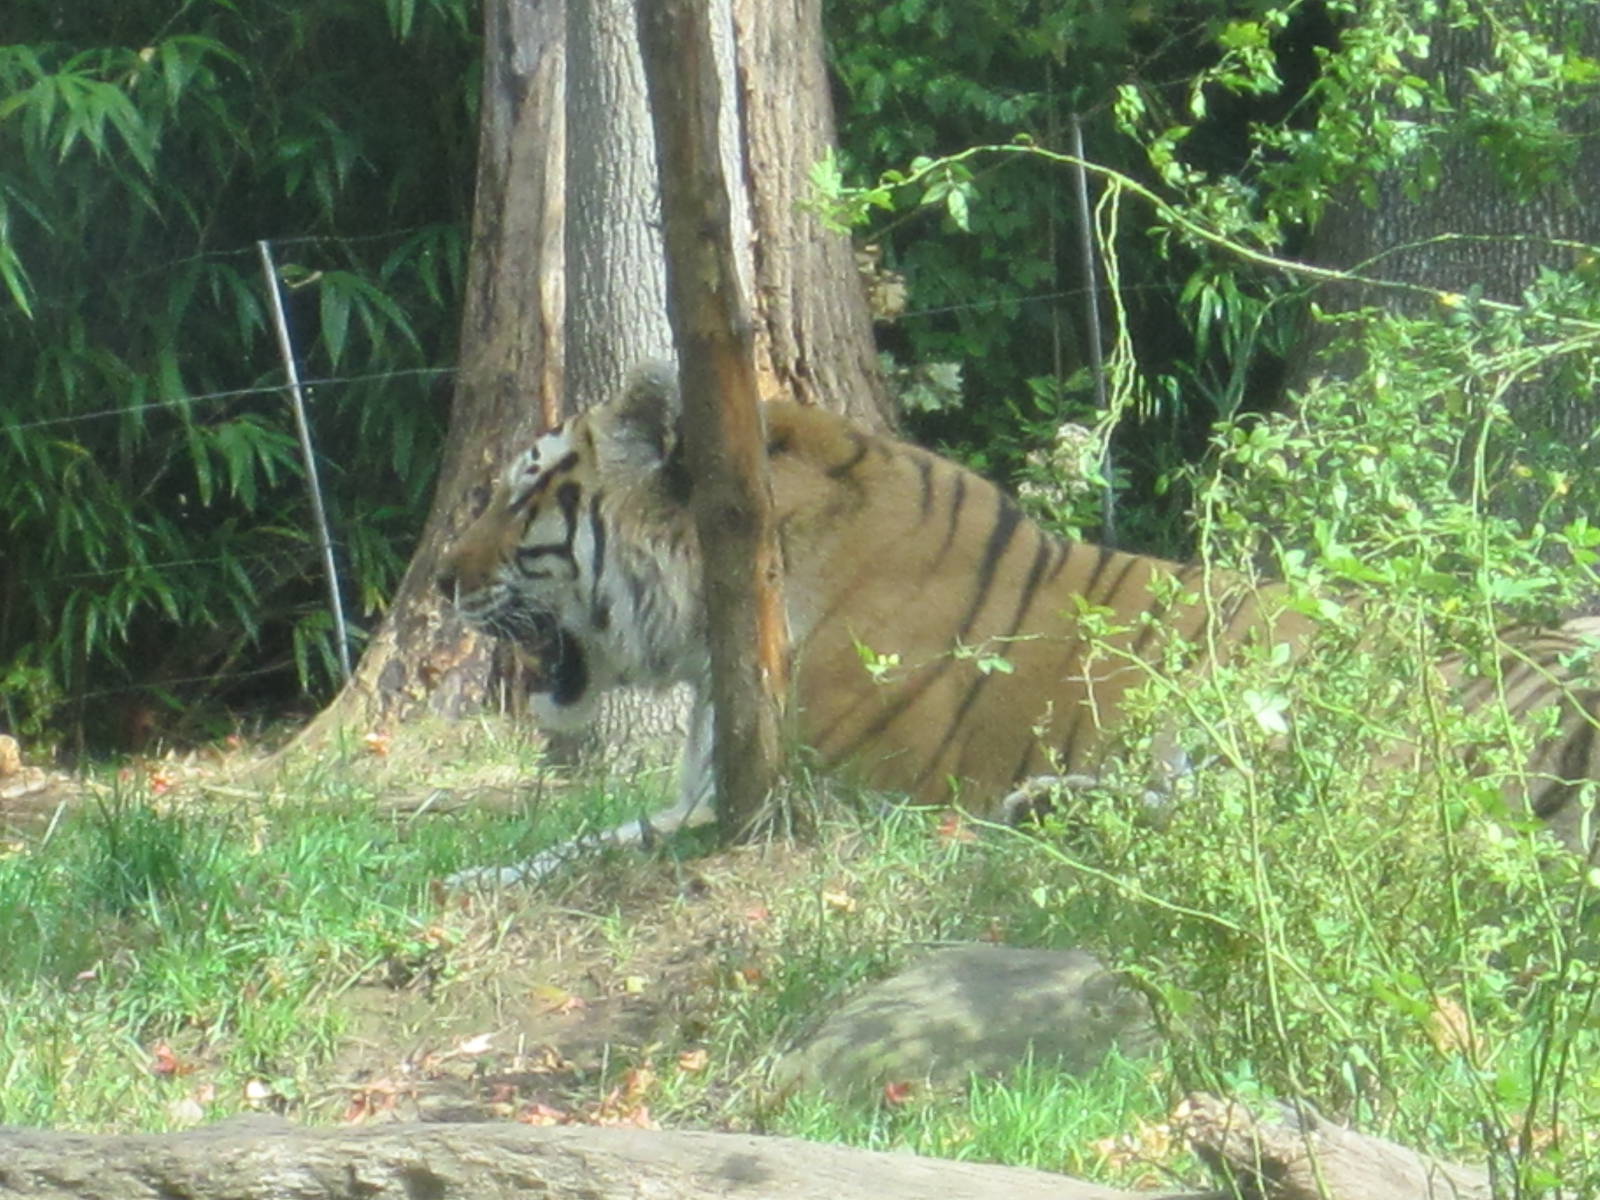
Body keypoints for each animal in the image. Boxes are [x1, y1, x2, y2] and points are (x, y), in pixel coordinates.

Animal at [436, 361, 1600, 884]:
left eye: (523, 492)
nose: (442, 578)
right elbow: (588, 835)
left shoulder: (807, 798)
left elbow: (597, 847)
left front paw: (461, 881)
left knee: (1328, 829)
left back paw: (1048, 809)